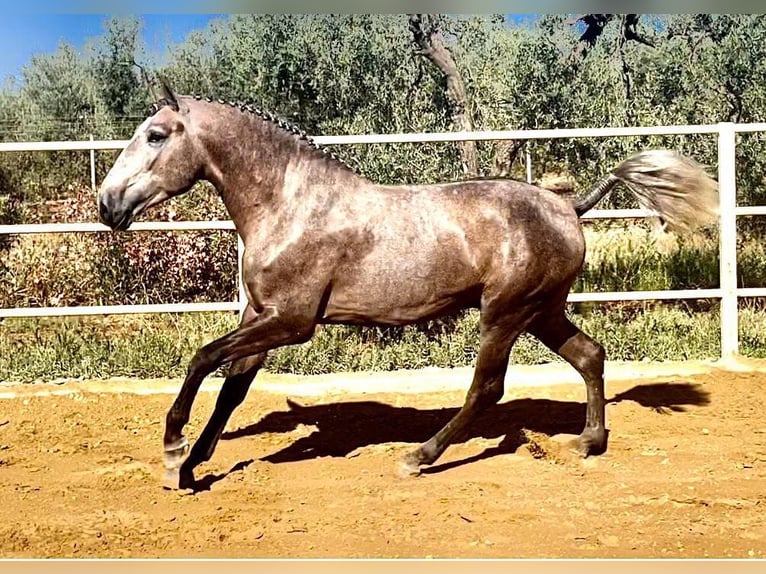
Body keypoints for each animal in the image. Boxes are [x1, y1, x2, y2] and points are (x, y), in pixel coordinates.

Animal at [96, 83, 720, 492]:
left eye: (155, 135)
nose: (108, 205)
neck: (290, 204)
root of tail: (568, 206)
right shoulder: (262, 318)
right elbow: (232, 388)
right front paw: (189, 469)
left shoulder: (292, 323)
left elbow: (202, 359)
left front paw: (173, 450)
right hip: (542, 312)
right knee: (590, 355)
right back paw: (587, 443)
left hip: (505, 313)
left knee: (487, 389)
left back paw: (419, 457)